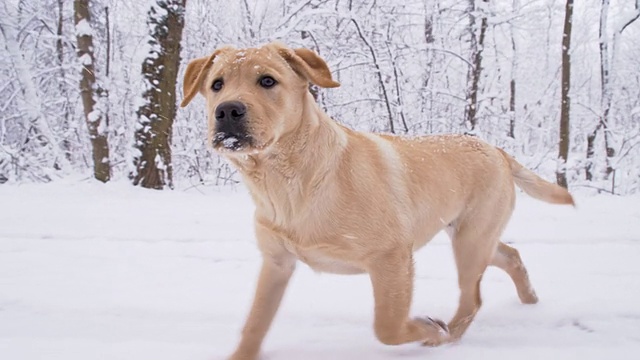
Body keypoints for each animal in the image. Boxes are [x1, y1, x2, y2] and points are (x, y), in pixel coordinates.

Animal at [180, 43, 576, 360]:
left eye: (267, 81)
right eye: (217, 85)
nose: (227, 111)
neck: (288, 183)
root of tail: (496, 148)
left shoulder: (391, 258)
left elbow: (387, 326)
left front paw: (428, 328)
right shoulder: (276, 262)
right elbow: (254, 324)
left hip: (470, 241)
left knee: (472, 299)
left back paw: (445, 337)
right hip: (471, 236)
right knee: (510, 256)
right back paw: (529, 301)